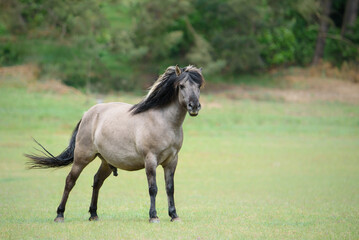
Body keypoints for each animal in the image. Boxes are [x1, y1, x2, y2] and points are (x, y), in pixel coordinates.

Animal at [25, 64, 205, 222]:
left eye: (199, 86)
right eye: (181, 86)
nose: (194, 106)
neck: (162, 121)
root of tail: (88, 114)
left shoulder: (171, 161)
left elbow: (170, 188)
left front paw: (174, 215)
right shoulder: (150, 160)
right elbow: (153, 188)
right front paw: (153, 216)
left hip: (106, 161)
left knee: (97, 181)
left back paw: (93, 214)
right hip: (82, 157)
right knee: (70, 181)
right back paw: (60, 215)